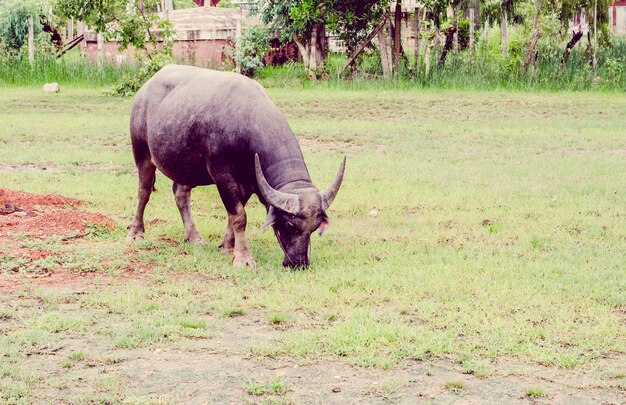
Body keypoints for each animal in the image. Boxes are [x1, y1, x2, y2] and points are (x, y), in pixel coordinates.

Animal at [124, 64, 344, 268]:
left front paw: (228, 247)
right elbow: (239, 216)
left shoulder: (248, 182)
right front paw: (243, 258)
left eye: (313, 228)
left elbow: (234, 215)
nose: (298, 263)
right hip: (142, 153)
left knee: (181, 194)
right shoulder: (223, 176)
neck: (244, 125)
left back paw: (193, 236)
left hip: (183, 166)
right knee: (143, 191)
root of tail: (145, 89)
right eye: (289, 224)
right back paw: (136, 233)